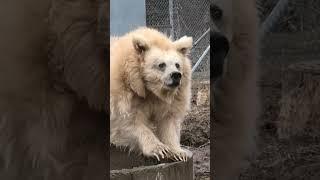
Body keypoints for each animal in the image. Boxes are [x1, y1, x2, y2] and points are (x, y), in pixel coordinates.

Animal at [110, 27, 192, 162]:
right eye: (161, 64)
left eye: (177, 64)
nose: (176, 75)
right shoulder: (124, 93)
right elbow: (128, 121)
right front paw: (159, 149)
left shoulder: (171, 98)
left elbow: (168, 120)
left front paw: (179, 152)